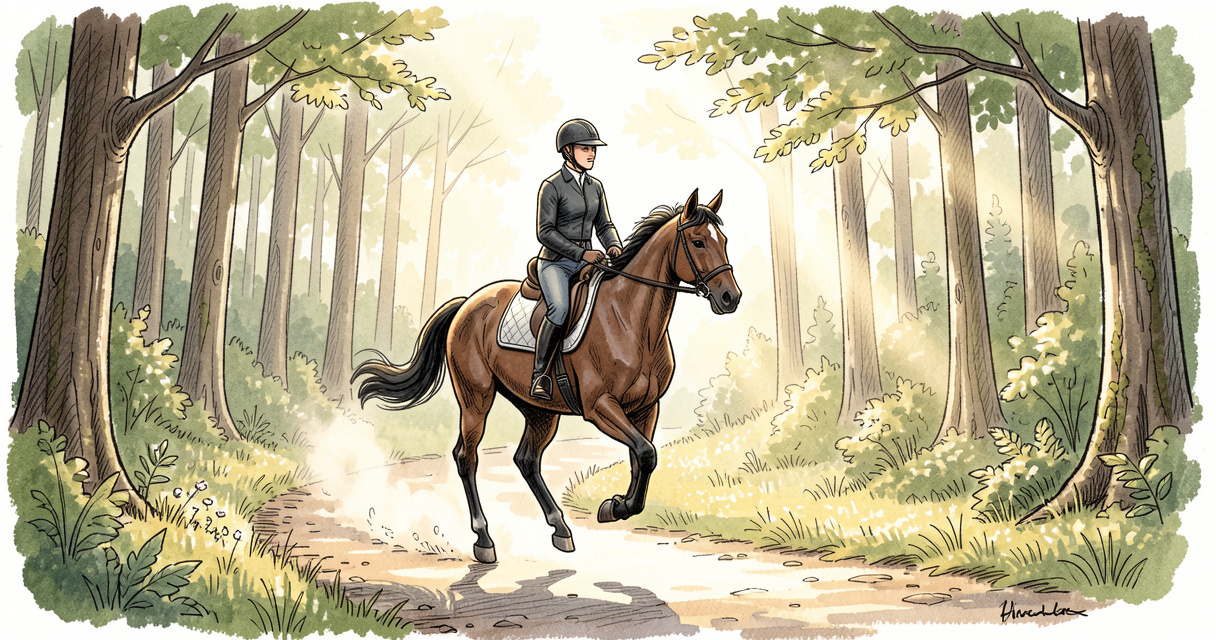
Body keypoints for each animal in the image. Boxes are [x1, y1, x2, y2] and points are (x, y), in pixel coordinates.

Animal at [353, 189, 741, 563]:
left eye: (723, 239)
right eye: (698, 242)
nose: (730, 297)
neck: (630, 320)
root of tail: (467, 304)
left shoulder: (647, 407)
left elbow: (642, 458)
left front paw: (617, 506)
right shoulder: (600, 407)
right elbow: (644, 453)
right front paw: (615, 507)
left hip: (539, 409)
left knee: (527, 459)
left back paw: (560, 529)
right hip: (476, 397)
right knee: (467, 456)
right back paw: (484, 540)